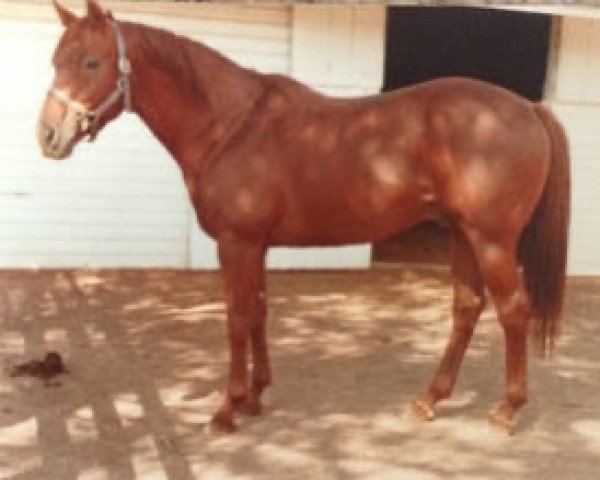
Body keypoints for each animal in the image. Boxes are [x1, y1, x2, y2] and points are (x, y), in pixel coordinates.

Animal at [38, 0, 572, 436]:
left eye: (91, 61)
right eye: (55, 60)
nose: (48, 136)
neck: (230, 126)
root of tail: (527, 107)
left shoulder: (237, 242)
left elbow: (237, 317)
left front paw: (227, 409)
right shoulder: (255, 245)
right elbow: (257, 312)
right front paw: (255, 397)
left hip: (492, 240)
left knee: (514, 311)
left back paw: (506, 411)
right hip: (462, 235)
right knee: (466, 308)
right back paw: (429, 400)